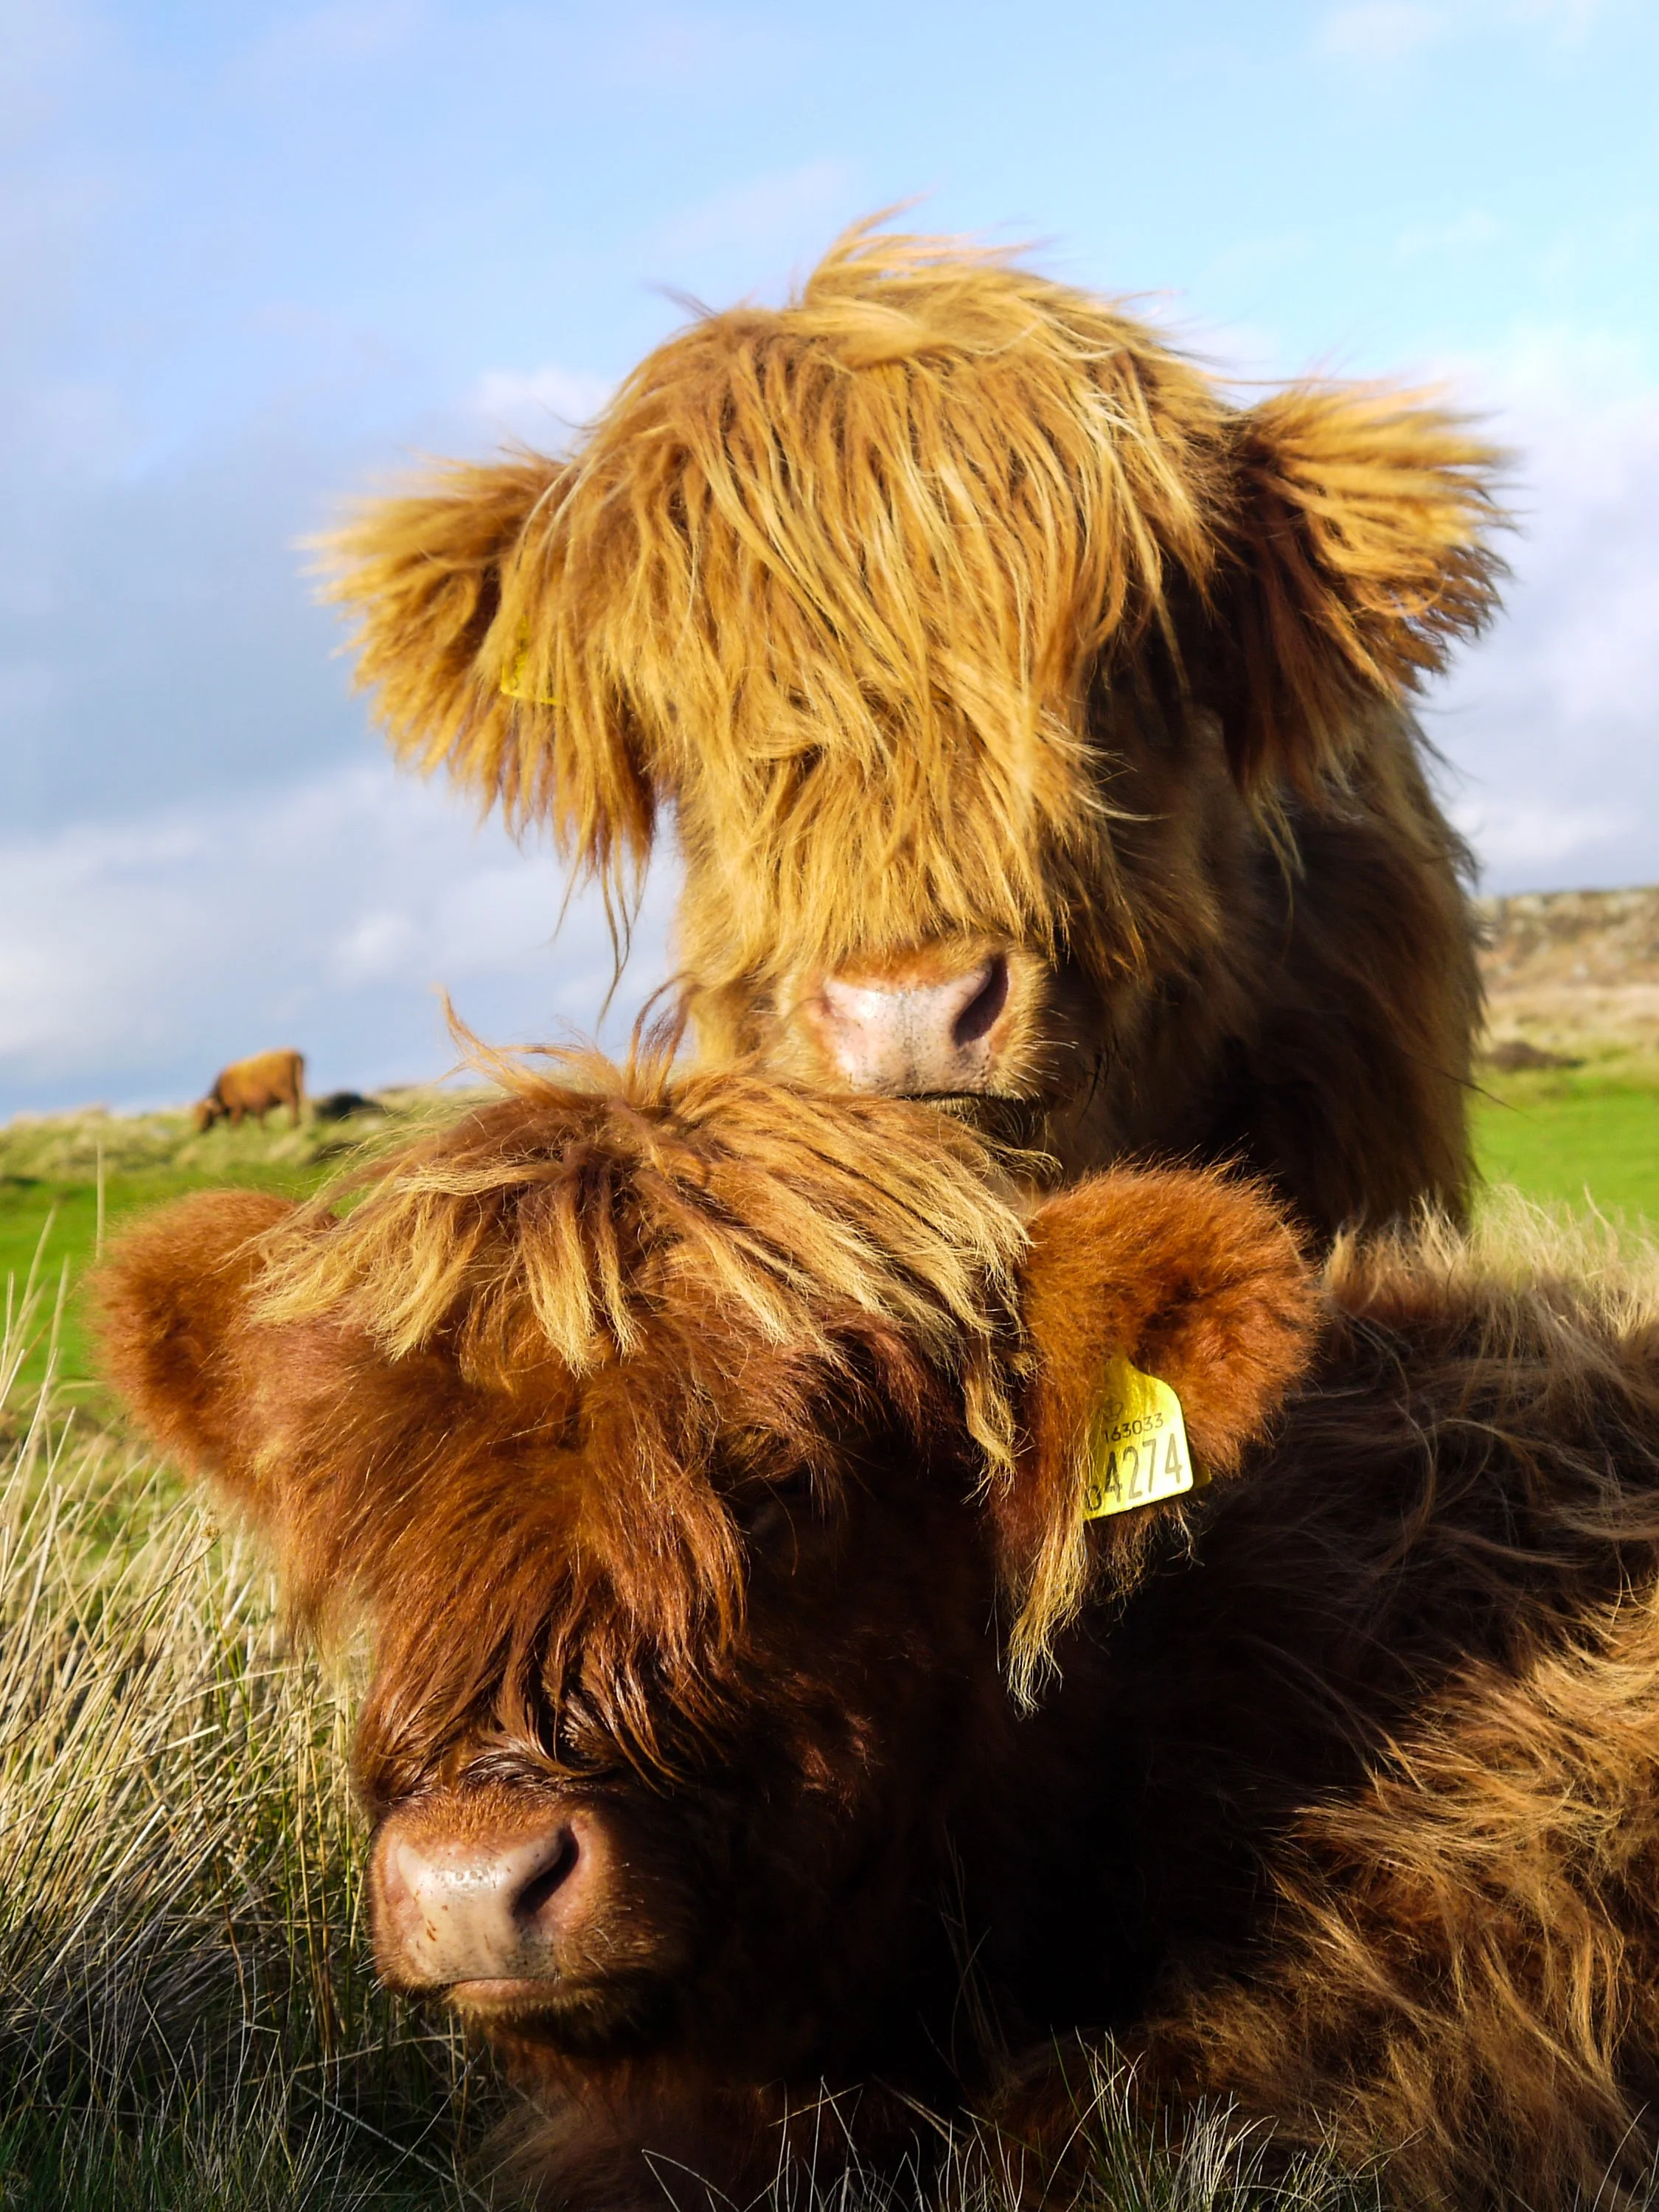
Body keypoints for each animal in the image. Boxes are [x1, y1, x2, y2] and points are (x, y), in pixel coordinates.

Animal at [191, 1048, 306, 1133]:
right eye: (195, 1115)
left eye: (205, 1113)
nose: (199, 1129)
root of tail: (293, 1053)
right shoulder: (251, 1109)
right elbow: (258, 1119)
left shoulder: (237, 1109)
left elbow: (236, 1124)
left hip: (285, 1092)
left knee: (293, 1103)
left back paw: (293, 1124)